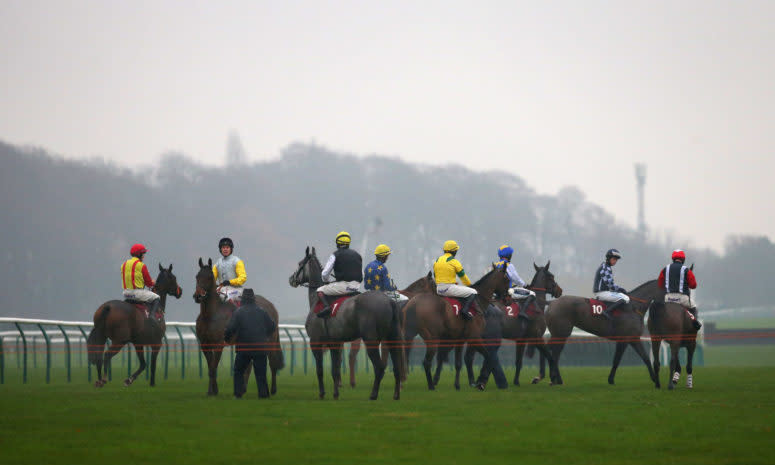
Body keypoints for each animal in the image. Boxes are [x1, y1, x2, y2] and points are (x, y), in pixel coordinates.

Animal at [194, 258, 284, 396]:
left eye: (209, 277)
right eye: (197, 276)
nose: (198, 296)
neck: (210, 315)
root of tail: (271, 305)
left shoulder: (219, 344)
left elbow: (213, 367)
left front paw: (214, 391)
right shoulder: (205, 344)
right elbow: (210, 368)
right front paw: (211, 391)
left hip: (269, 340)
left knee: (272, 362)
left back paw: (273, 390)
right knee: (249, 365)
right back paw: (243, 388)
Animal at [286, 245, 406, 400]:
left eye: (300, 264)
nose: (291, 279)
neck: (316, 301)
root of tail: (389, 301)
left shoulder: (315, 341)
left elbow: (320, 370)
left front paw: (322, 393)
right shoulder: (334, 343)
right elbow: (335, 370)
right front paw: (336, 393)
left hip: (371, 340)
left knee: (379, 367)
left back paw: (373, 394)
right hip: (392, 337)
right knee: (397, 366)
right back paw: (396, 394)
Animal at [400, 262, 516, 390]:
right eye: (507, 279)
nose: (509, 299)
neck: (478, 301)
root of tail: (414, 302)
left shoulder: (460, 339)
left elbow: (458, 363)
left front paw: (457, 385)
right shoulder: (474, 337)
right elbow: (489, 356)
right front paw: (480, 382)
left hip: (409, 335)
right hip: (432, 339)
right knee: (426, 362)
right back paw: (431, 386)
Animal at [466, 260, 564, 388]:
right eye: (551, 276)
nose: (560, 291)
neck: (535, 304)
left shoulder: (521, 339)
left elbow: (518, 361)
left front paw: (516, 381)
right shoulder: (536, 336)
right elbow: (550, 356)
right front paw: (553, 378)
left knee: (470, 357)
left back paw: (474, 381)